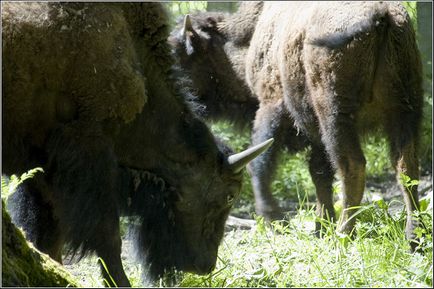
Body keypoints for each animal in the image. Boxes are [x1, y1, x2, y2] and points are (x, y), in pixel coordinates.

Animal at [2, 2, 274, 286]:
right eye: (229, 195)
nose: (206, 265)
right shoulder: (88, 154)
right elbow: (107, 235)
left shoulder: (40, 168)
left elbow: (44, 232)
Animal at [170, 0, 424, 248]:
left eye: (179, 58)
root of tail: (382, 13)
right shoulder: (315, 135)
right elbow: (319, 174)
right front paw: (321, 226)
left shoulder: (271, 105)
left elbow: (261, 164)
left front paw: (275, 219)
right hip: (405, 109)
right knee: (406, 167)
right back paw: (413, 238)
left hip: (334, 114)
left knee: (353, 166)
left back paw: (343, 236)